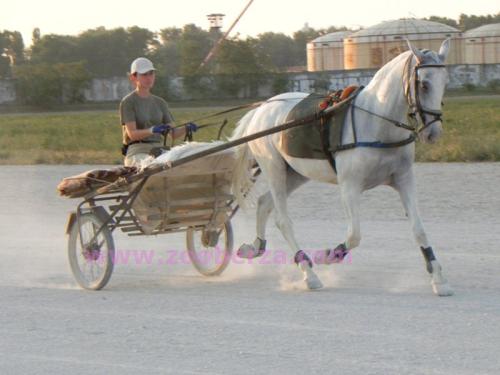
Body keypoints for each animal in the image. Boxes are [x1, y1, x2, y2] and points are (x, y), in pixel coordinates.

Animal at [230, 39, 454, 296]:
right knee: (282, 219)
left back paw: (255, 247)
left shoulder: (404, 179)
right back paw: (309, 272)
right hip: (274, 167)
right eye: (424, 84)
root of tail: (261, 108)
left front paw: (438, 279)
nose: (433, 133)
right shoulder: (349, 186)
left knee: (264, 202)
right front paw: (328, 255)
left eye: (445, 82)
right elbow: (354, 235)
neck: (376, 123)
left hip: (295, 173)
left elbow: (419, 230)